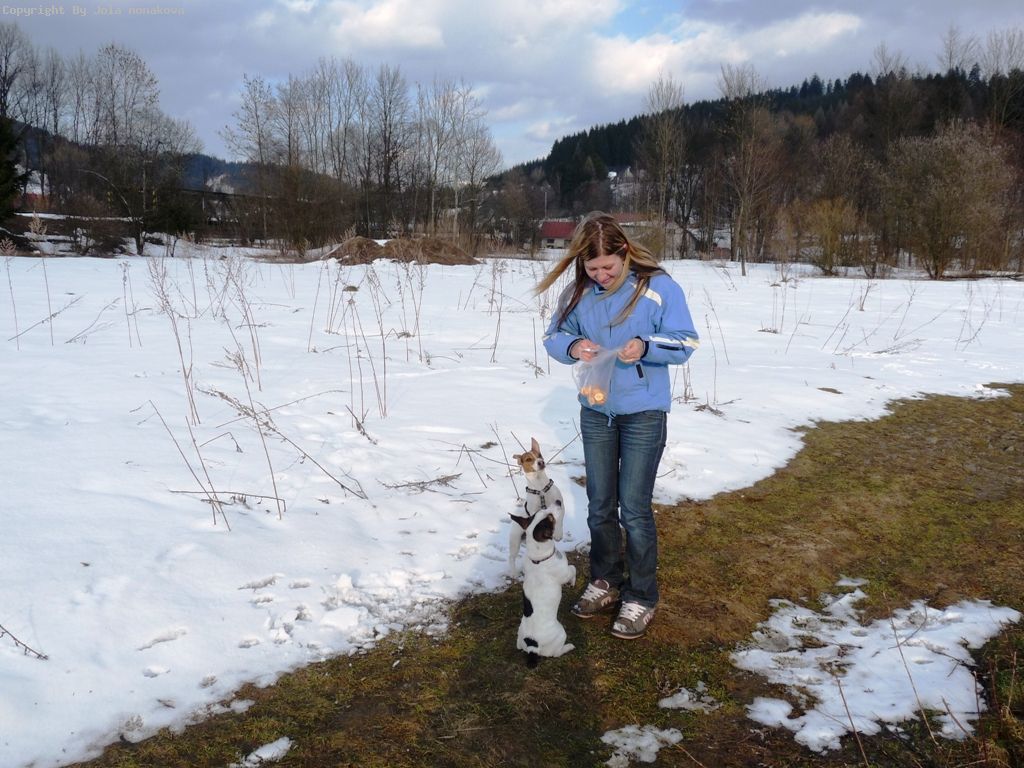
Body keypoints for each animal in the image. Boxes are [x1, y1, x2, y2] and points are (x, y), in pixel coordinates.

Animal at [508, 437, 565, 575]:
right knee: (511, 557)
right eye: (529, 459)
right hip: (514, 540)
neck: (540, 489)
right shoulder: (534, 512)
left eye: (539, 455)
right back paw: (513, 572)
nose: (541, 462)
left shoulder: (561, 503)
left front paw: (558, 534)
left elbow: (560, 519)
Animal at [515, 512, 576, 667]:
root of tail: (533, 646)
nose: (549, 511)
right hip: (561, 633)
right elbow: (573, 569)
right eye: (551, 519)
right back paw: (568, 647)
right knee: (556, 653)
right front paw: (572, 582)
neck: (538, 559)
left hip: (520, 635)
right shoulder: (565, 573)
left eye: (535, 514)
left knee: (518, 645)